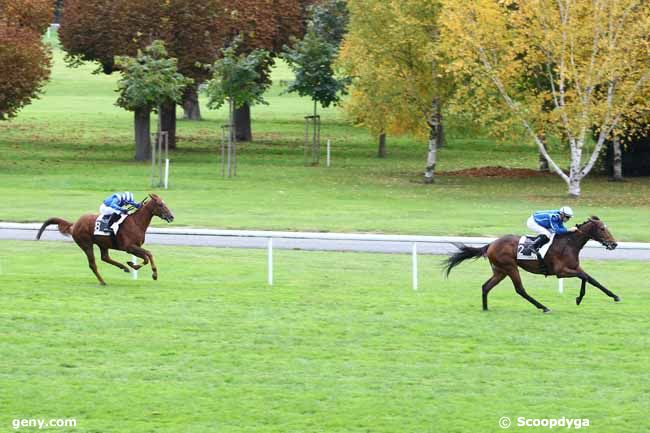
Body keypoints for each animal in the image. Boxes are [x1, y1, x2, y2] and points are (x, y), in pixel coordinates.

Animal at [35, 192, 172, 284]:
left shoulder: (134, 247)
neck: (136, 222)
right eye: (160, 204)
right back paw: (103, 281)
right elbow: (147, 255)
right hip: (86, 244)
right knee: (93, 264)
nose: (171, 216)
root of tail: (75, 224)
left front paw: (137, 267)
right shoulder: (129, 247)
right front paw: (142, 269)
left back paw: (124, 267)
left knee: (105, 258)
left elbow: (147, 256)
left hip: (102, 244)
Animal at [446, 218, 616, 312]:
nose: (614, 244)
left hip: (500, 271)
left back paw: (485, 308)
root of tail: (491, 244)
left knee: (486, 287)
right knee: (520, 290)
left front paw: (614, 296)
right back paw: (544, 307)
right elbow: (584, 278)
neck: (568, 243)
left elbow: (592, 279)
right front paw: (579, 298)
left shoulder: (574, 267)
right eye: (602, 229)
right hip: (510, 267)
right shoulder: (561, 271)